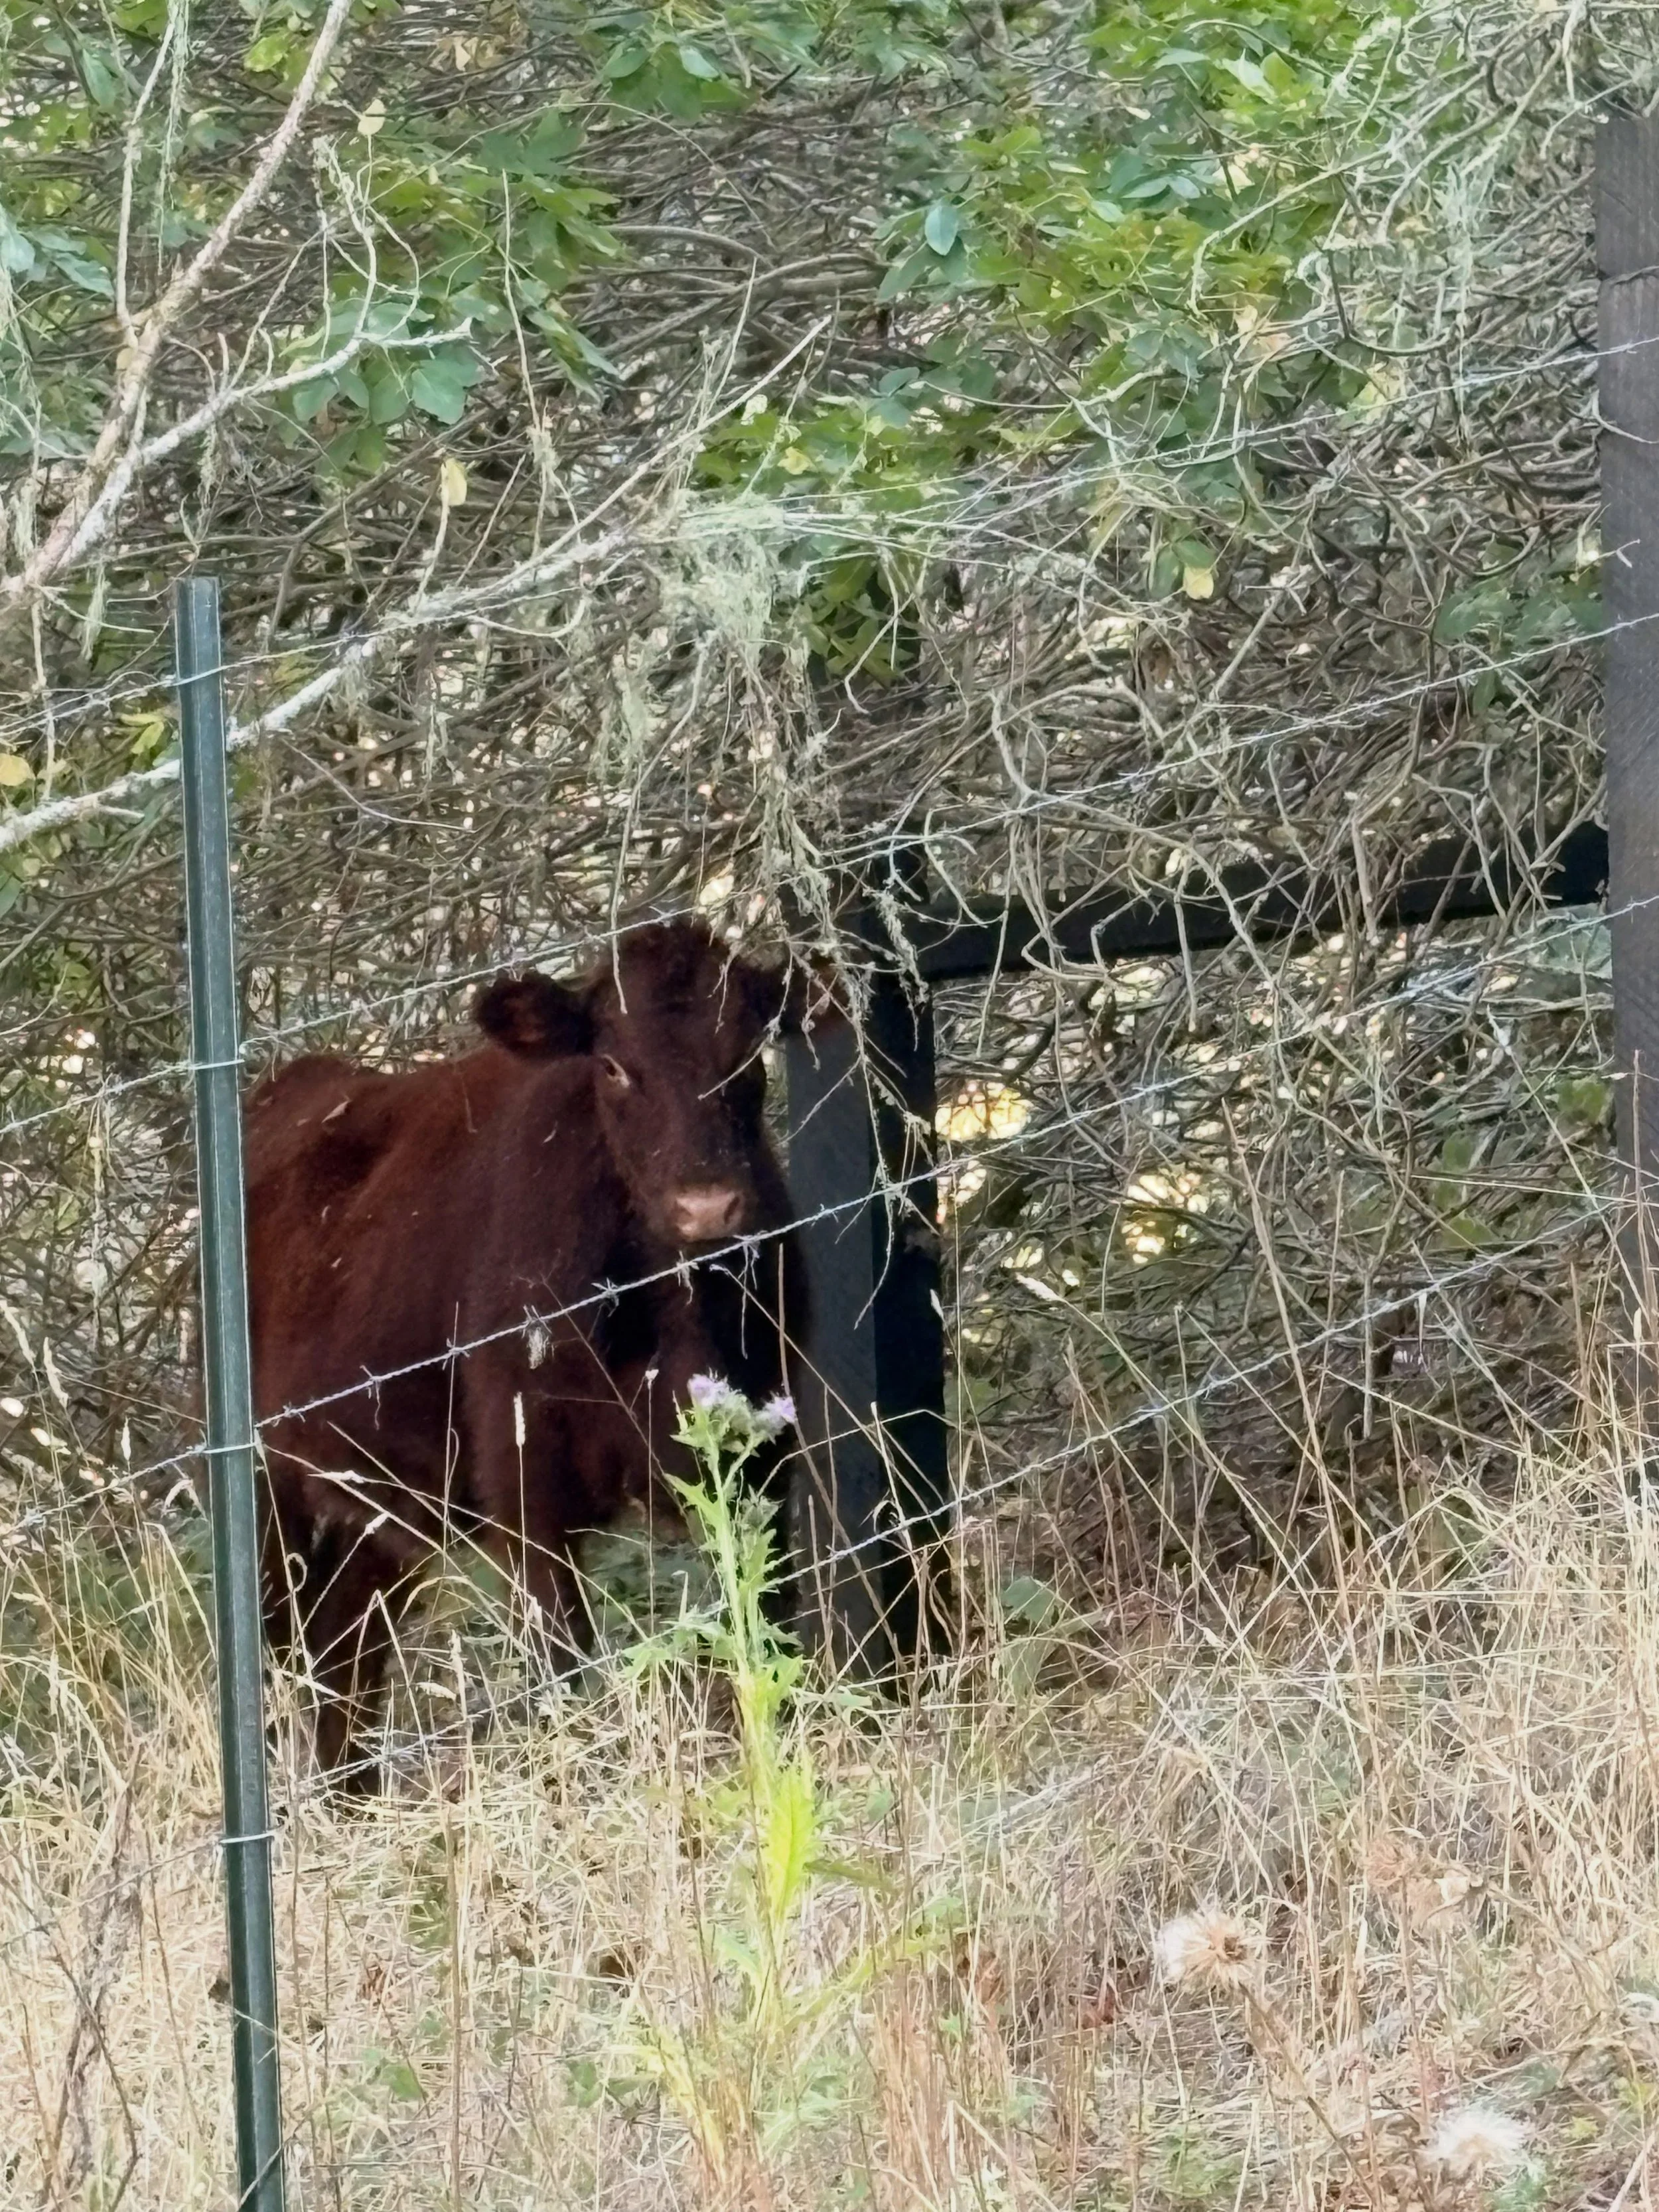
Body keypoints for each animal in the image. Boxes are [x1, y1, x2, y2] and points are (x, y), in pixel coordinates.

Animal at [244, 919, 813, 1791]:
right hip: (268, 1487)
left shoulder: (766, 1456)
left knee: (348, 1651)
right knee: (291, 1655)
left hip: (382, 1504)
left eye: (748, 1050)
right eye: (611, 1065)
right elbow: (564, 1668)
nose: (706, 1205)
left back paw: (354, 1799)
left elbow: (765, 1626)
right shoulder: (527, 1484)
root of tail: (303, 1080)